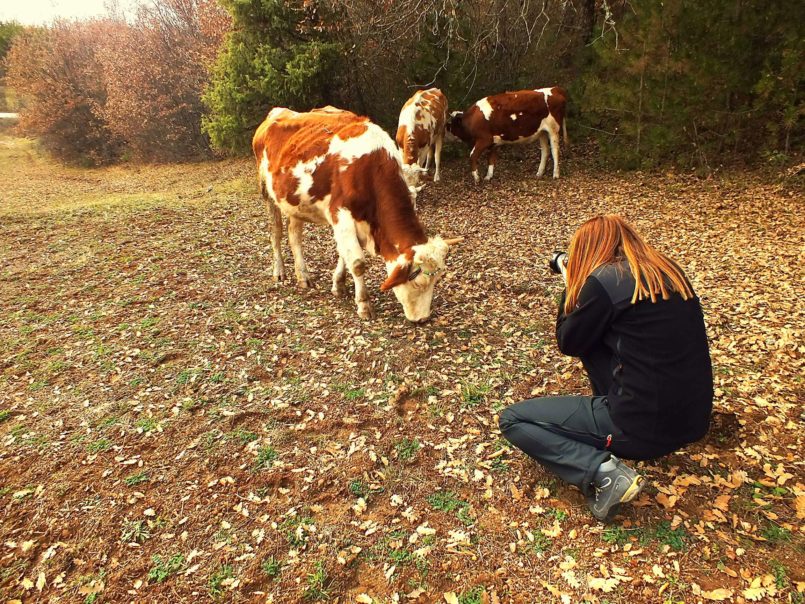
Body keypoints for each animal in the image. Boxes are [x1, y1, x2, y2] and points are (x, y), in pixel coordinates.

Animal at [251, 106, 458, 324]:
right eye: (419, 283)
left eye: (436, 280)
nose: (423, 319)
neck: (370, 169)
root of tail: (277, 112)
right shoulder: (341, 215)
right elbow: (358, 263)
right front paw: (364, 305)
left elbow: (344, 253)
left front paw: (338, 284)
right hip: (267, 191)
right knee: (276, 233)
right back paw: (279, 271)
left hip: (294, 202)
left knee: (294, 236)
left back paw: (303, 276)